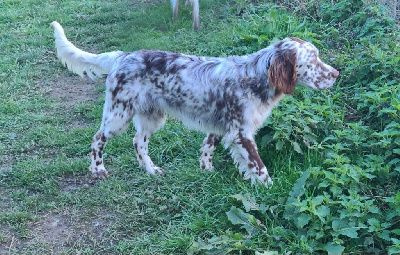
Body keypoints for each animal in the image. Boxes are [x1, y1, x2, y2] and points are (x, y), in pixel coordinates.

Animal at [49, 21, 338, 185]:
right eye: (312, 61)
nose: (336, 74)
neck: (254, 76)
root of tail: (122, 56)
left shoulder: (220, 127)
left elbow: (207, 148)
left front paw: (206, 170)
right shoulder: (242, 133)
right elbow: (259, 167)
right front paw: (269, 190)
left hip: (152, 116)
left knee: (138, 142)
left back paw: (151, 170)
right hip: (118, 113)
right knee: (98, 139)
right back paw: (98, 170)